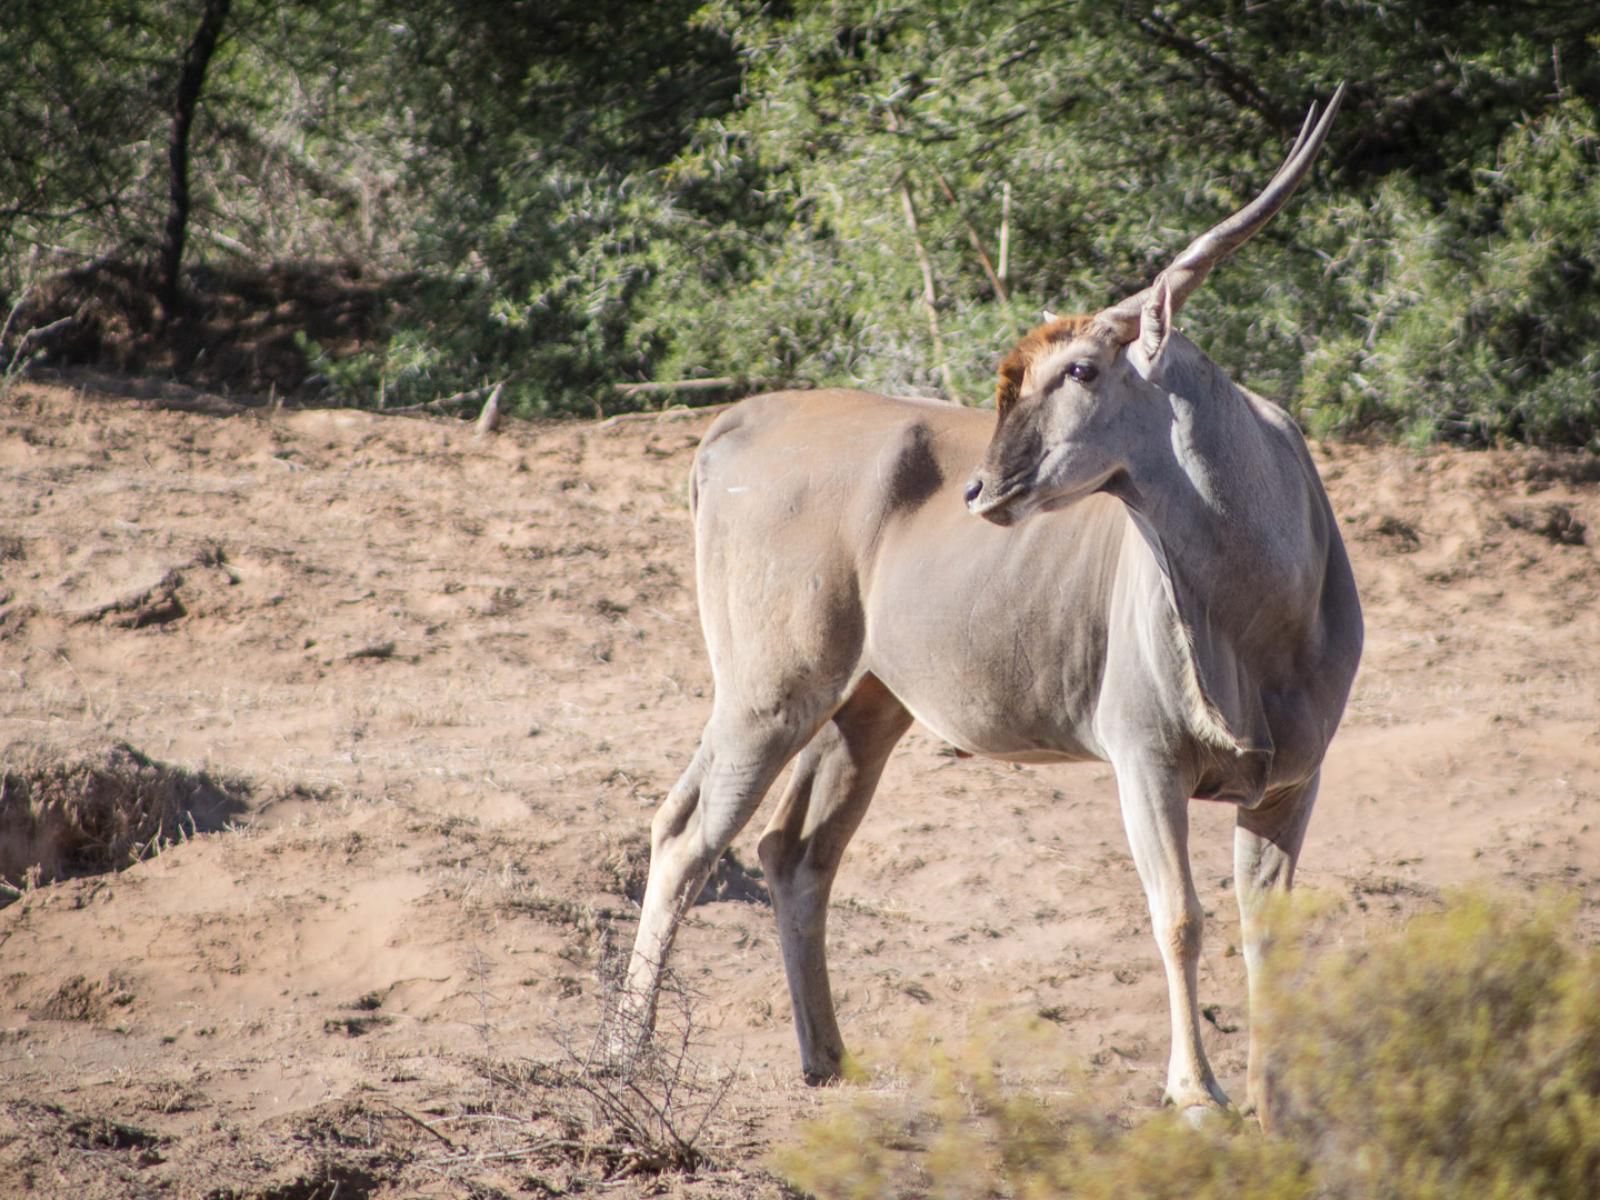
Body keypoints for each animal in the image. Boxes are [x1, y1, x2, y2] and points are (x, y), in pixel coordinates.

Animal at [617, 86, 1356, 1126]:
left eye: (1079, 370)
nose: (982, 490)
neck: (1261, 610)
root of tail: (733, 423)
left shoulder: (1293, 781)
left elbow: (1267, 932)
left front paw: (1278, 1103)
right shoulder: (1146, 762)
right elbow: (1178, 916)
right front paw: (1199, 1093)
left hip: (865, 710)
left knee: (794, 852)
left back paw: (827, 1058)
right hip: (768, 696)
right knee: (686, 835)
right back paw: (626, 1055)